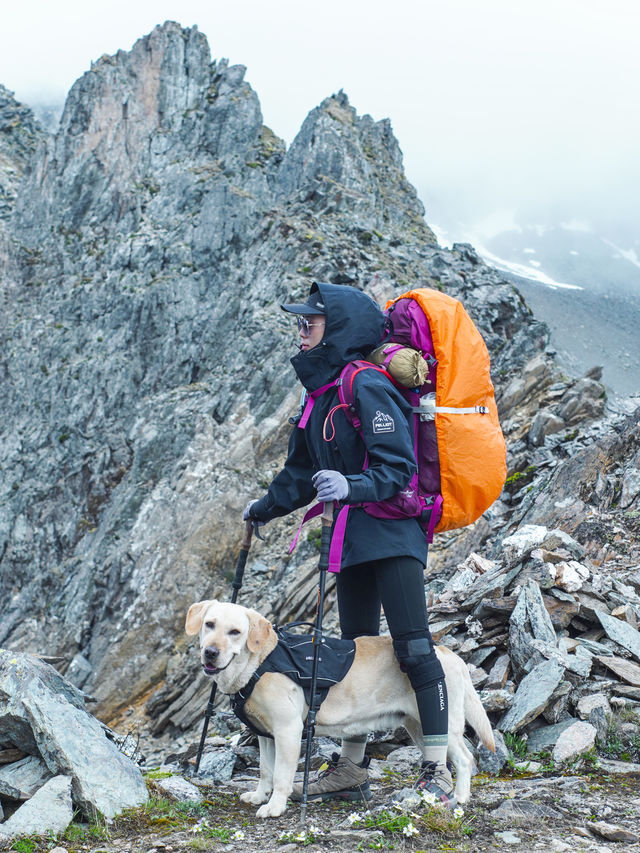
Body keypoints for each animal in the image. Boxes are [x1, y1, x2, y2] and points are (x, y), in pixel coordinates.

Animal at [185, 596, 496, 816]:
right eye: (209, 624)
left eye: (235, 632)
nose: (210, 652)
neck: (259, 664)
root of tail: (448, 653)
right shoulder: (266, 736)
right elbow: (265, 770)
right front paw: (260, 795)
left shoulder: (288, 731)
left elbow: (282, 776)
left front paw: (274, 807)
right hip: (418, 726)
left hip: (445, 723)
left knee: (465, 759)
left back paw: (460, 797)